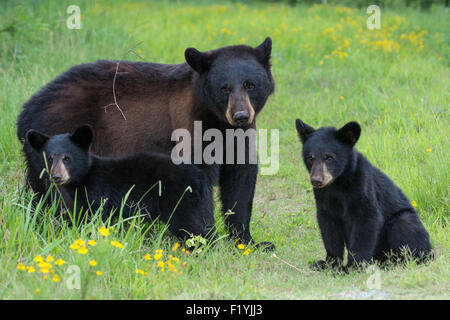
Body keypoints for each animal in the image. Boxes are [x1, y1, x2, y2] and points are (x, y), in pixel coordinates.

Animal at [25, 125, 215, 240]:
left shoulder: (100, 193)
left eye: (67, 158)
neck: (84, 178)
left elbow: (96, 218)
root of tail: (201, 178)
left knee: (190, 227)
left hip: (179, 200)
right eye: (49, 158)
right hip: (203, 203)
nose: (57, 176)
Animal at [296, 119, 432, 268]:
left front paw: (353, 266)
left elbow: (366, 221)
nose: (316, 180)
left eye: (329, 157)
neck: (338, 183)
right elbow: (329, 228)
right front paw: (329, 263)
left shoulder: (362, 187)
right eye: (310, 157)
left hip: (406, 222)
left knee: (405, 227)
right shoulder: (324, 198)